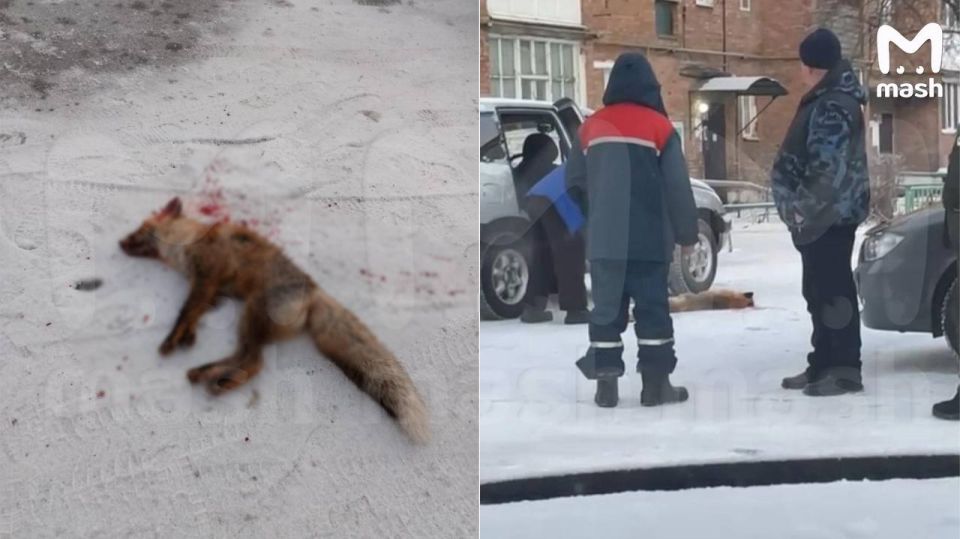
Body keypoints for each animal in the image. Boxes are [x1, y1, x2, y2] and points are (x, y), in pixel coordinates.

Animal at [119, 197, 429, 443]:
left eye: (140, 230)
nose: (119, 243)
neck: (189, 241)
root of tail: (314, 291)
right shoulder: (212, 290)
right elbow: (195, 314)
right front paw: (188, 336)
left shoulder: (206, 277)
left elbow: (185, 312)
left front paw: (172, 340)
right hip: (248, 321)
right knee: (244, 357)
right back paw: (206, 372)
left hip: (251, 315)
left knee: (254, 362)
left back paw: (220, 381)